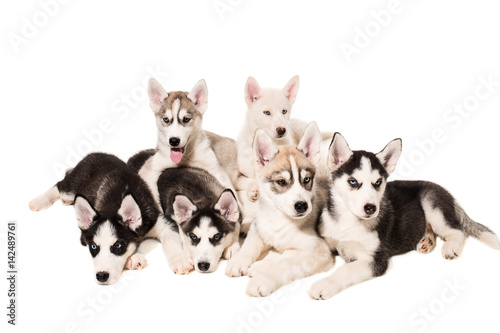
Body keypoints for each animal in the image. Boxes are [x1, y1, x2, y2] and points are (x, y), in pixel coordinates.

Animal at [28, 152, 160, 284]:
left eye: (118, 246)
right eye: (94, 246)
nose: (101, 276)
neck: (116, 201)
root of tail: (95, 154)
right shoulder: (83, 237)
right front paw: (133, 258)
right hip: (72, 186)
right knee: (60, 185)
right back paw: (40, 201)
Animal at [227, 122, 336, 296]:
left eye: (306, 179)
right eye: (281, 182)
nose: (302, 205)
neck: (280, 221)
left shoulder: (320, 252)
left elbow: (286, 264)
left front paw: (263, 278)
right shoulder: (260, 228)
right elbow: (250, 245)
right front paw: (238, 261)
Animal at [308, 134, 500, 300]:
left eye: (378, 182)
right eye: (353, 181)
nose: (371, 208)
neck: (347, 220)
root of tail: (446, 192)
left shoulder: (375, 259)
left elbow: (346, 270)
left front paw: (324, 285)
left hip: (431, 203)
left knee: (458, 231)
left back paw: (450, 247)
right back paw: (426, 241)